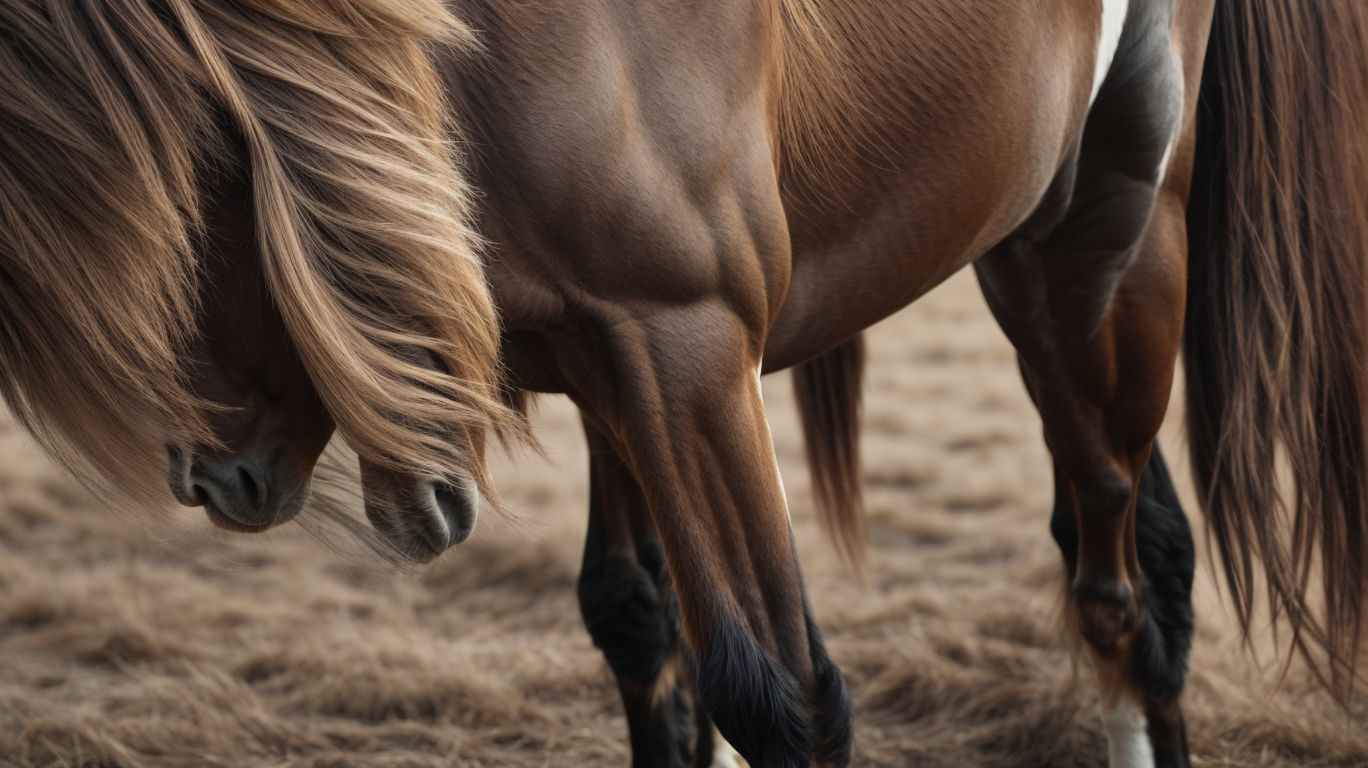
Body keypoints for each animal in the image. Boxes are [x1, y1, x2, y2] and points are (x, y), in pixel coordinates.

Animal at [3, 1, 1368, 767]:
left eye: (188, 196)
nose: (211, 476)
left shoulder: (690, 350)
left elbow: (782, 696)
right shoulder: (605, 358)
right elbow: (637, 626)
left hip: (1102, 252)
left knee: (1119, 591)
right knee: (1152, 555)